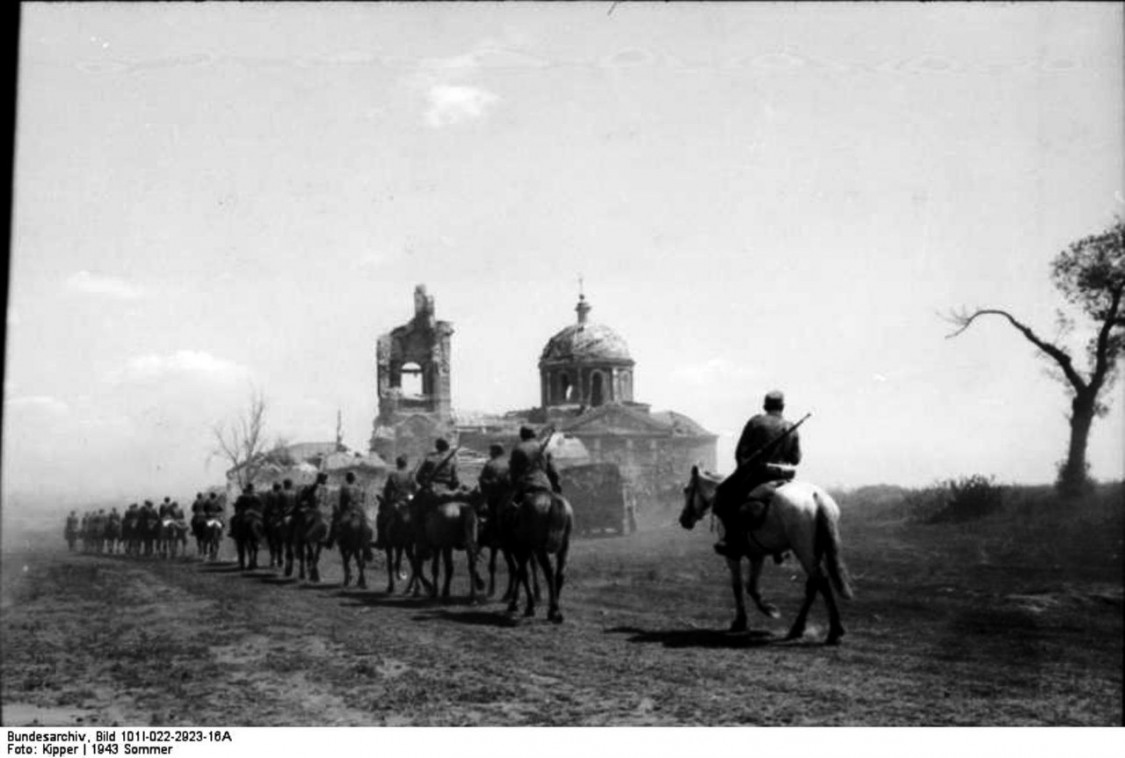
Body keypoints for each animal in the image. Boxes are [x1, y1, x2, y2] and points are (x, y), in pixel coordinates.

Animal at [508, 488, 571, 620]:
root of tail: (553, 500)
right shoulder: (526, 552)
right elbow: (522, 572)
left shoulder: (521, 551)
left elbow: (523, 574)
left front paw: (527, 606)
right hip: (564, 546)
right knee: (560, 573)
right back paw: (554, 609)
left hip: (539, 550)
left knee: (549, 573)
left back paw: (553, 611)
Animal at [675, 461, 850, 643]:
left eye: (687, 489)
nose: (684, 519)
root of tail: (817, 498)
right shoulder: (757, 555)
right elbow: (752, 586)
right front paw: (768, 610)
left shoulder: (732, 555)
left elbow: (738, 586)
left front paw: (745, 620)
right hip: (813, 552)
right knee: (814, 585)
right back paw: (798, 628)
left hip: (805, 552)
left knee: (821, 582)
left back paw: (834, 631)